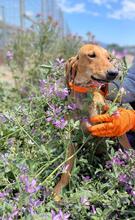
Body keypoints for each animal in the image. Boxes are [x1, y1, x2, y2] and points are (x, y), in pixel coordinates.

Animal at [53, 43, 130, 200]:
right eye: (91, 55)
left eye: (109, 58)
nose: (114, 72)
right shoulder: (71, 140)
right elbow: (67, 169)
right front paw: (58, 191)